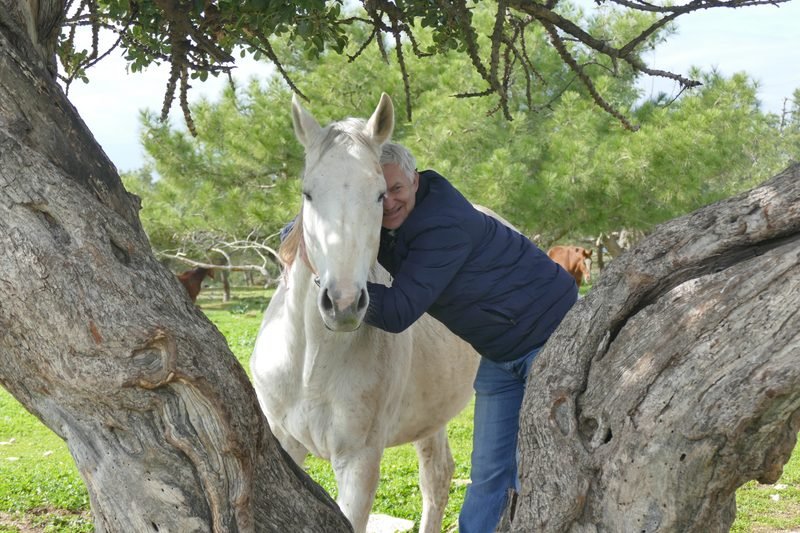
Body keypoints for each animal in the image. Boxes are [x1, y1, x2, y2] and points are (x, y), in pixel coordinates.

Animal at [249, 93, 480, 533]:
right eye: (307, 193)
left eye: (379, 195)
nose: (342, 304)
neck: (311, 365)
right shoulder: (285, 446)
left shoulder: (359, 462)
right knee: (438, 476)